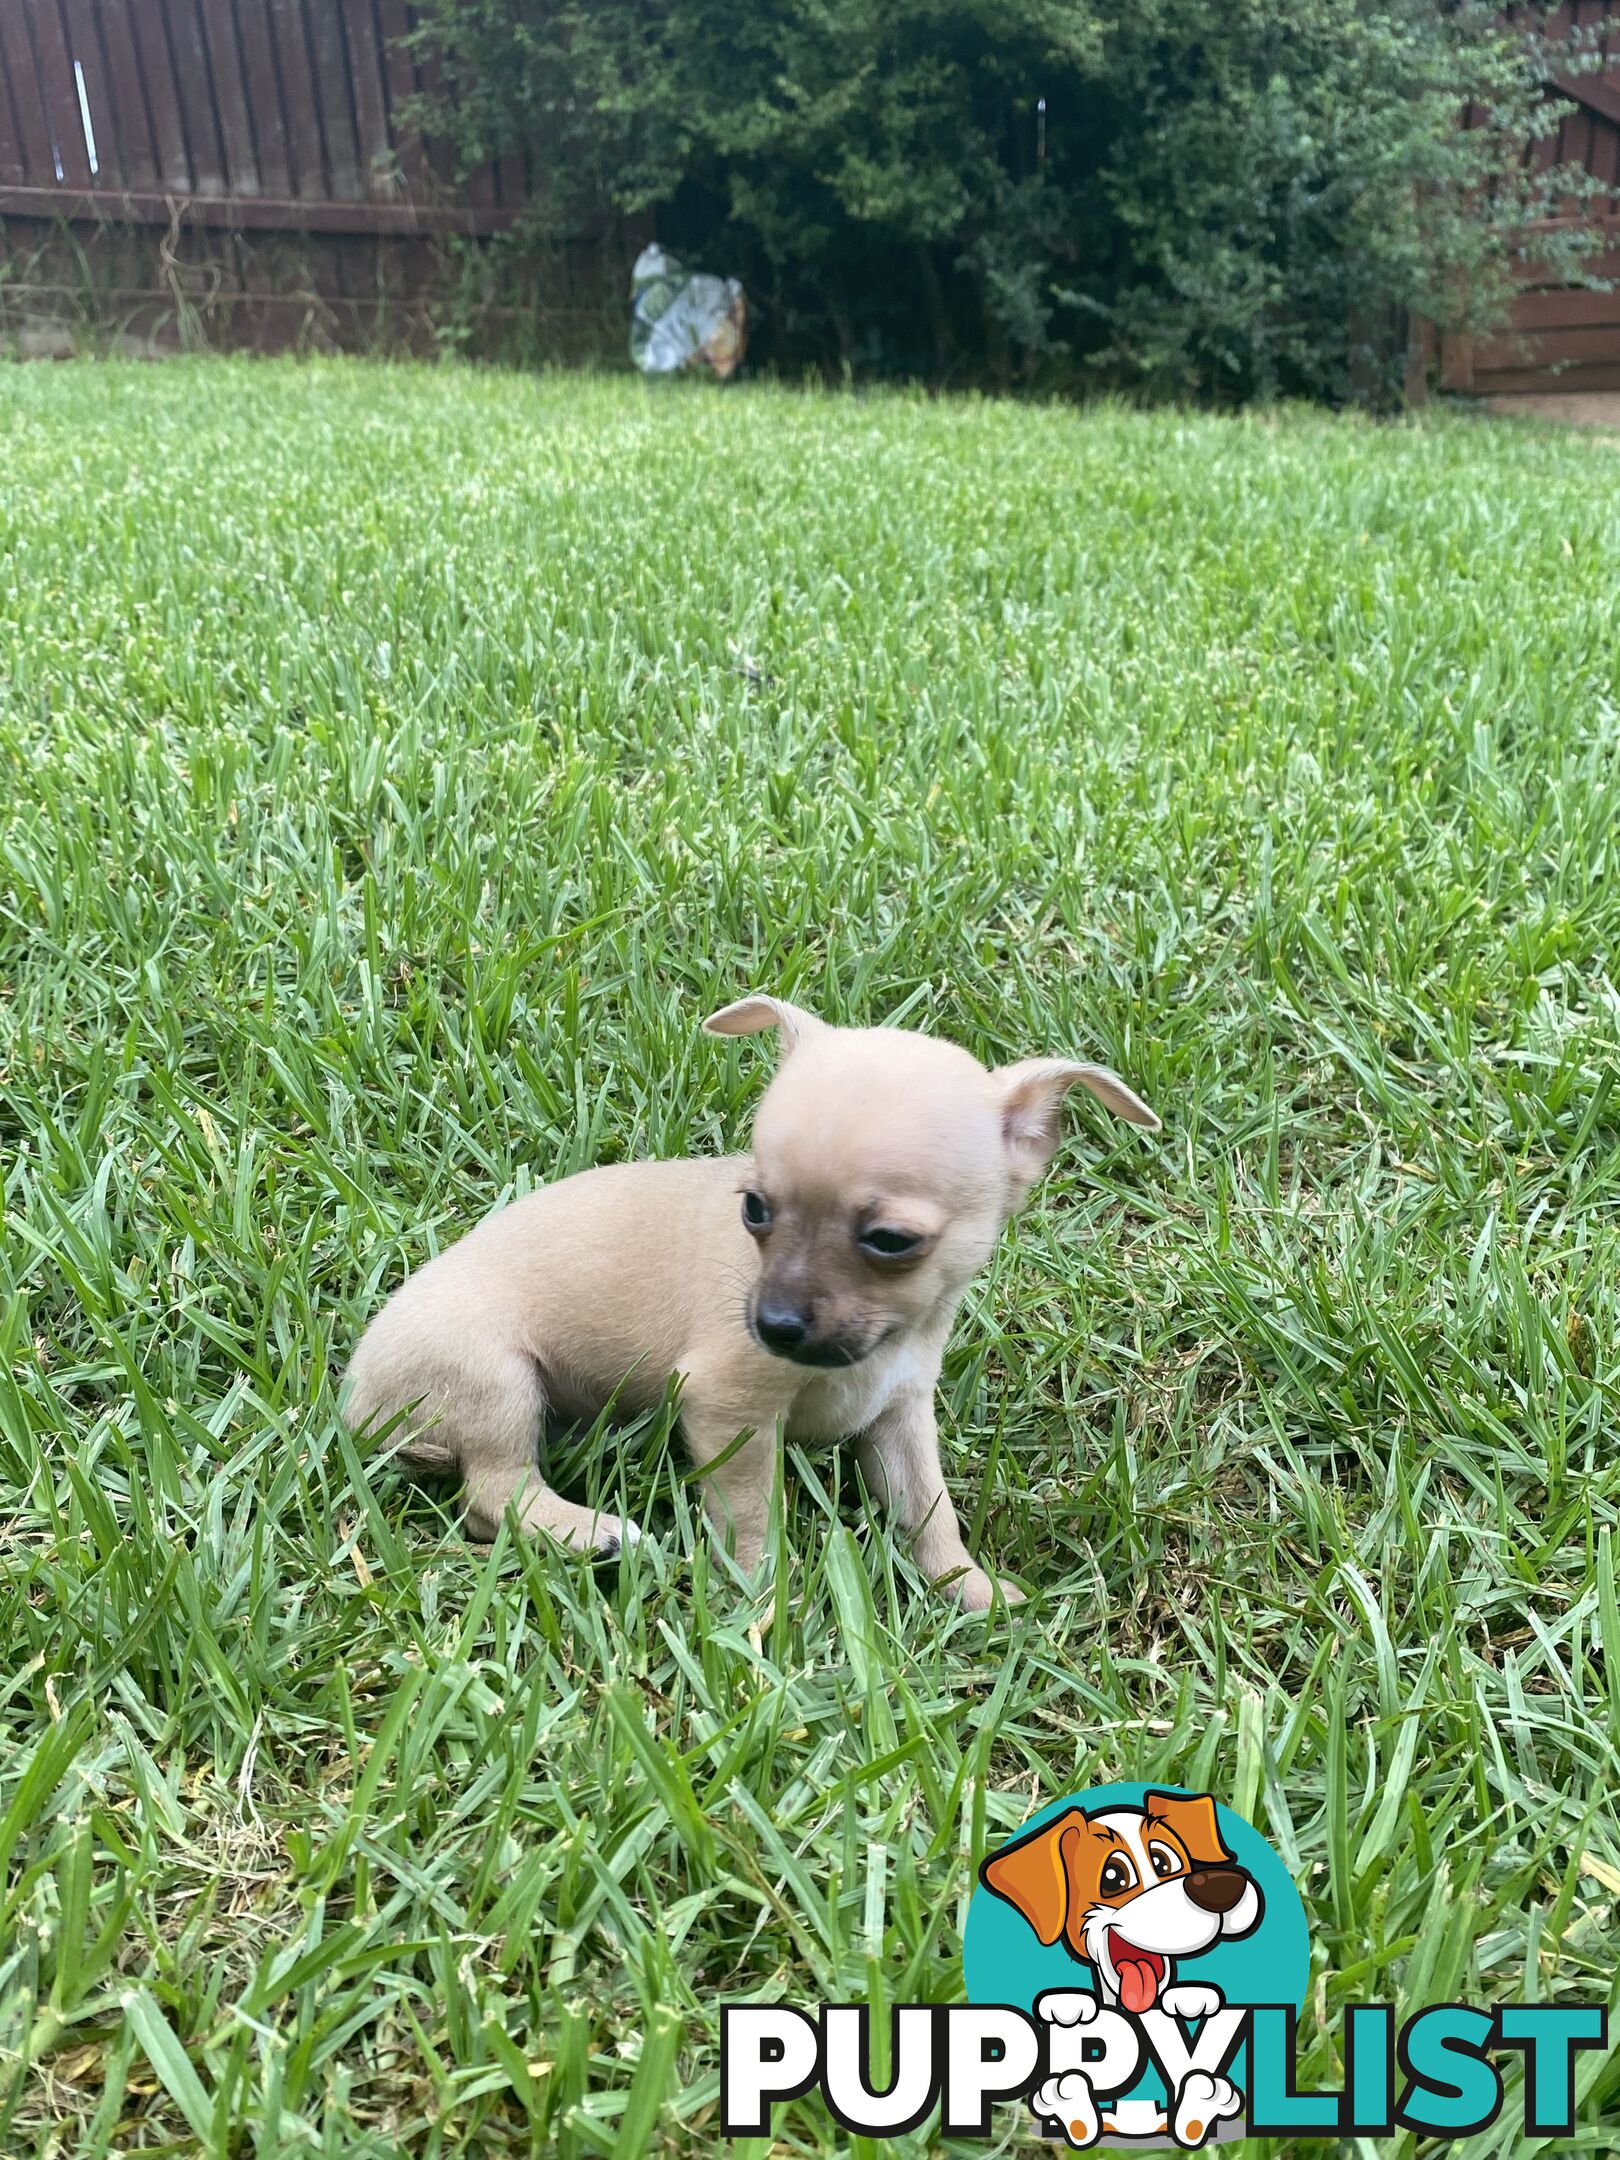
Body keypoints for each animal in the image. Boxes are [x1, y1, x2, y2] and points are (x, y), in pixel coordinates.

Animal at [343, 993, 1157, 1607]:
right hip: (495, 1379)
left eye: (890, 1241)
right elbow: (753, 1518)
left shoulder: (900, 1416)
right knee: (494, 1488)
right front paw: (766, 1604)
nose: (773, 1325)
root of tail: (355, 1406)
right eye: (756, 1209)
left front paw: (969, 1590)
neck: (883, 1345)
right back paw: (595, 1533)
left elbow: (929, 1511)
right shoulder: (728, 1411)